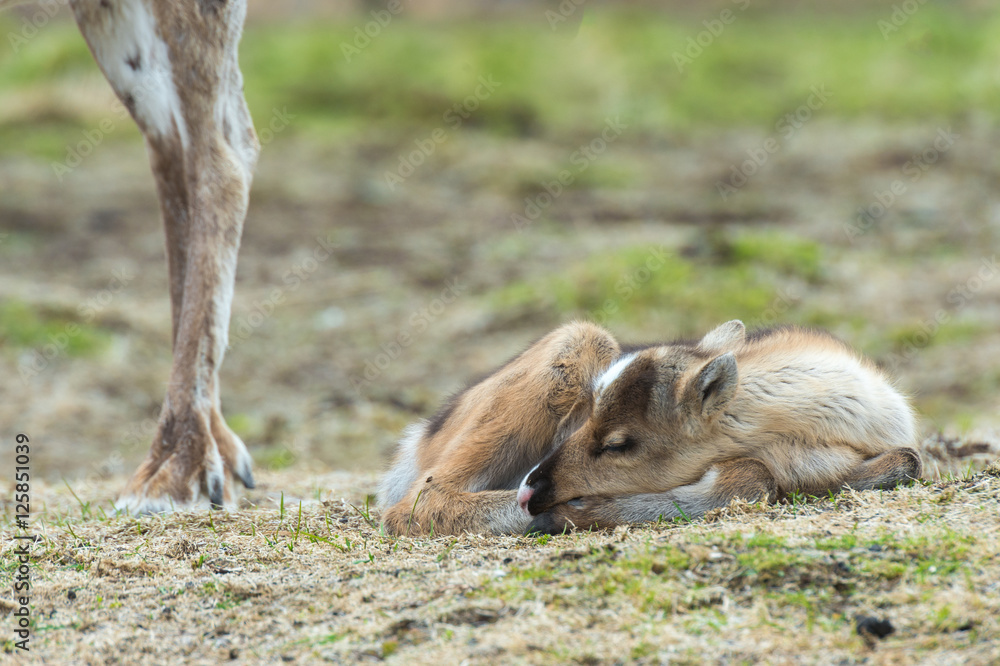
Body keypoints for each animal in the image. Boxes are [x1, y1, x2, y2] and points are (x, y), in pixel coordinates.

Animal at [378, 320, 922, 536]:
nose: (534, 488)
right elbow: (753, 476)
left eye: (620, 443)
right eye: (585, 420)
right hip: (580, 341)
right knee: (417, 501)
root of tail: (420, 437)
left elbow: (906, 461)